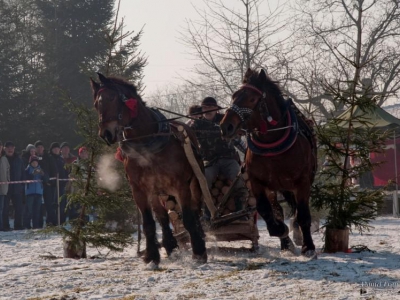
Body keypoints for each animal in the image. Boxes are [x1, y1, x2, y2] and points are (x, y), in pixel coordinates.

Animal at [90, 73, 208, 264]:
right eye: (96, 104)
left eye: (112, 97)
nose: (105, 134)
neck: (147, 142)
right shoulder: (139, 190)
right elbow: (149, 223)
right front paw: (152, 255)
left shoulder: (181, 185)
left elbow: (189, 218)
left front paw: (198, 251)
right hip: (157, 192)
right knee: (163, 217)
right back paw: (169, 245)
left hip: (195, 183)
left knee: (196, 211)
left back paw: (200, 237)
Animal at [220, 68, 318, 258]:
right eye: (234, 96)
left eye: (252, 98)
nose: (225, 126)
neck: (273, 147)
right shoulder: (258, 183)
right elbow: (265, 209)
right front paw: (280, 231)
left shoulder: (302, 183)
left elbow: (303, 214)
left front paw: (308, 247)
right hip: (275, 188)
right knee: (278, 210)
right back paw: (286, 243)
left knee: (297, 211)